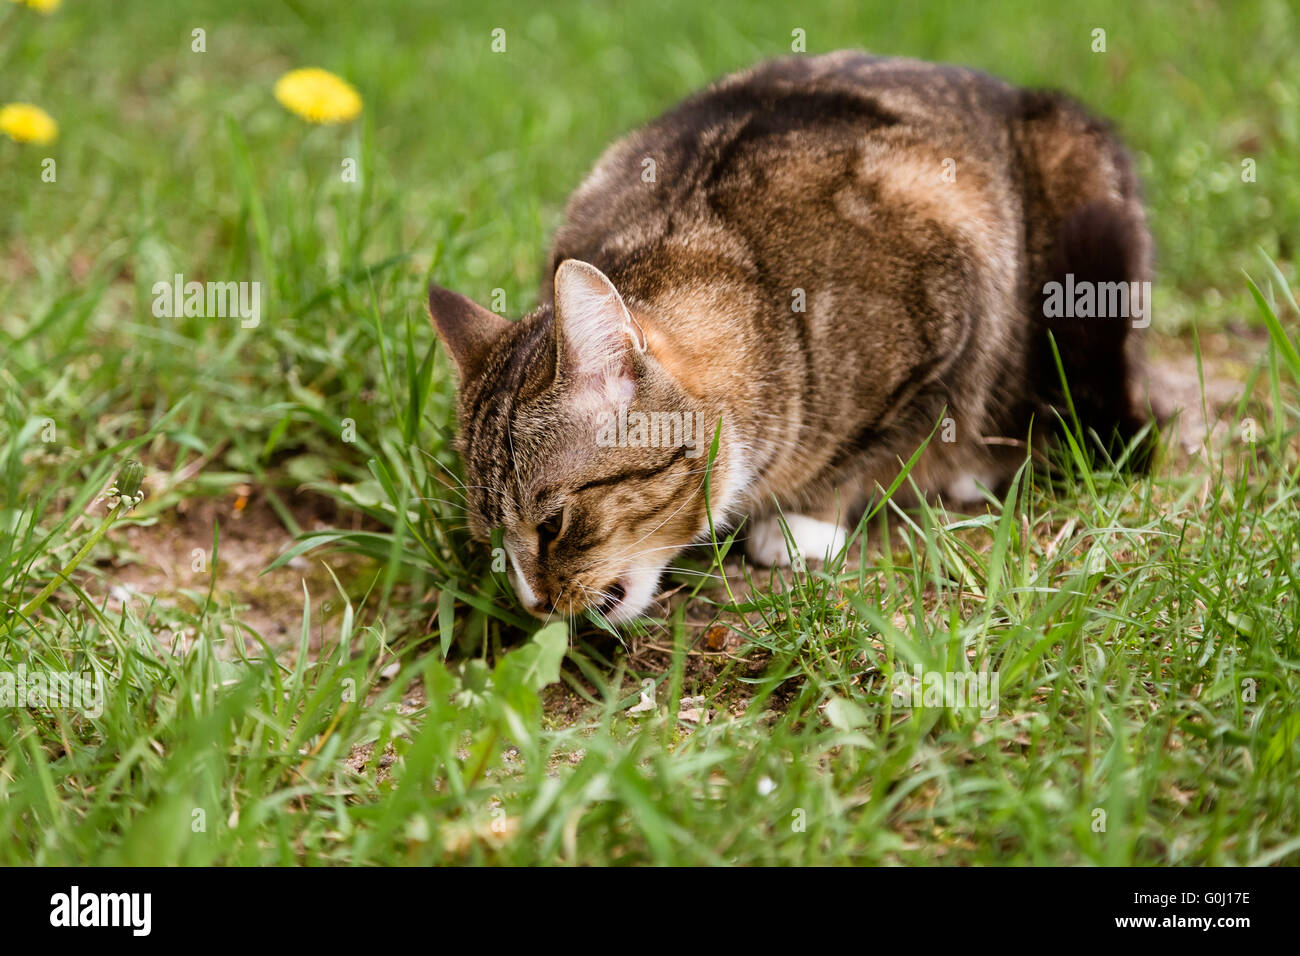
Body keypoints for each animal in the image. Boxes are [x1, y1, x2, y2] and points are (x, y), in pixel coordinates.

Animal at [431, 52, 1154, 624]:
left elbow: (877, 445)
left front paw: (802, 522)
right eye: (490, 538)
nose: (533, 604)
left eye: (552, 526)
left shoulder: (953, 312)